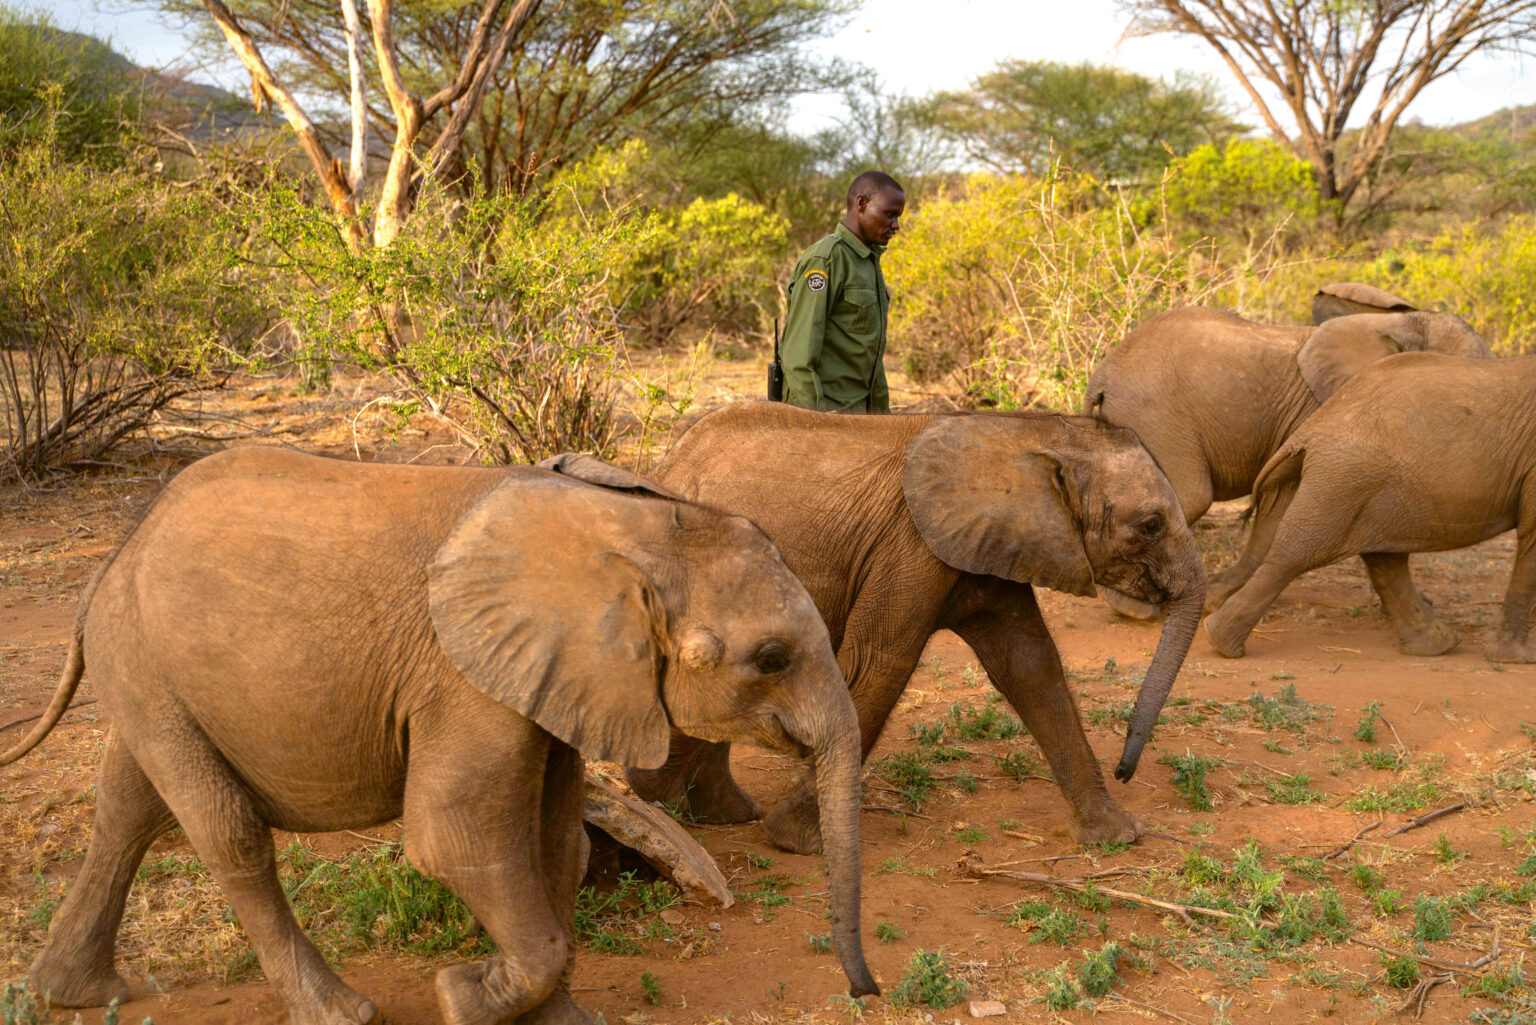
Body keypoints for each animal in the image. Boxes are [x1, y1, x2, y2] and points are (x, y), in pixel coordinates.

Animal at [0, 447, 877, 1025]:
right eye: (772, 657)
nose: (866, 990)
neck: (632, 524)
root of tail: (112, 560)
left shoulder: (551, 677)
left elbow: (557, 842)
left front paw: (549, 1018)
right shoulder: (462, 677)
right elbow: (455, 837)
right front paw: (461, 995)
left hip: (147, 672)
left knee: (129, 807)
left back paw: (81, 994)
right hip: (147, 666)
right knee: (228, 831)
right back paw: (342, 1012)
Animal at [622, 404, 1207, 855]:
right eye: (1150, 525)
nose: (1126, 770)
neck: (1030, 431)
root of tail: (670, 460)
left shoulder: (988, 544)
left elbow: (1031, 665)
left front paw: (1116, 836)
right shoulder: (910, 543)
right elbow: (880, 663)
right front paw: (798, 842)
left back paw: (706, 811)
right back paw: (667, 805)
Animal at [1082, 285, 1492, 619]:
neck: (1402, 325)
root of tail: (1101, 374)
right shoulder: (1319, 412)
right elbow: (1286, 497)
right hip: (1155, 417)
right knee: (1188, 497)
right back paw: (1135, 610)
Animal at [1202, 352, 1536, 662]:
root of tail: (1310, 428)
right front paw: (1516, 660)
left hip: (1371, 485)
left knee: (1383, 558)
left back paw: (1436, 646)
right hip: (1347, 479)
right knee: (1296, 555)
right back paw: (1222, 644)